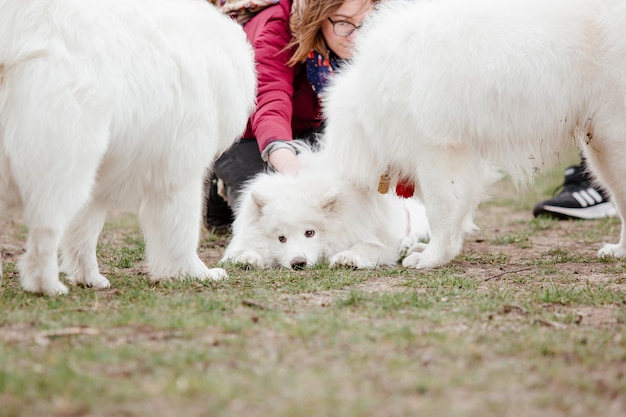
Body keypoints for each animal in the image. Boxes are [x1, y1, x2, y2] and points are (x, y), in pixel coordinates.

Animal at [0, 0, 256, 296]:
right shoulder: (179, 175)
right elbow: (182, 231)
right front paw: (196, 272)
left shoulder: (99, 182)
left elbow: (83, 233)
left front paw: (89, 278)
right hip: (65, 166)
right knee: (45, 232)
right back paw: (47, 285)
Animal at [219, 150, 428, 270]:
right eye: (281, 238)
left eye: (310, 233)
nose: (298, 263)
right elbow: (246, 249)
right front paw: (247, 258)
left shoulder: (374, 237)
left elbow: (364, 247)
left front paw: (346, 258)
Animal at [320, 0, 624, 268]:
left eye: (313, 230)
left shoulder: (437, 152)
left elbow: (441, 210)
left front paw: (431, 257)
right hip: (600, 145)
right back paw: (619, 251)